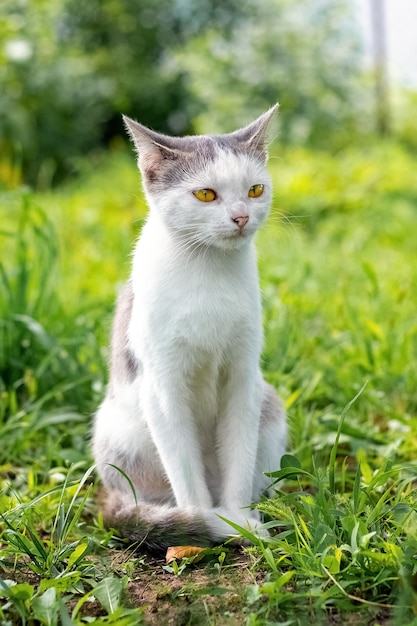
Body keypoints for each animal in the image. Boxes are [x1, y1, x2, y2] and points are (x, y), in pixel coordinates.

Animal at [92, 106, 286, 552]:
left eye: (254, 190)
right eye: (206, 195)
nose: (241, 216)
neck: (208, 272)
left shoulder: (243, 375)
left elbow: (238, 454)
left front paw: (238, 520)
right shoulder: (162, 385)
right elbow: (183, 467)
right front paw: (201, 523)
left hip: (268, 404)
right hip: (117, 434)